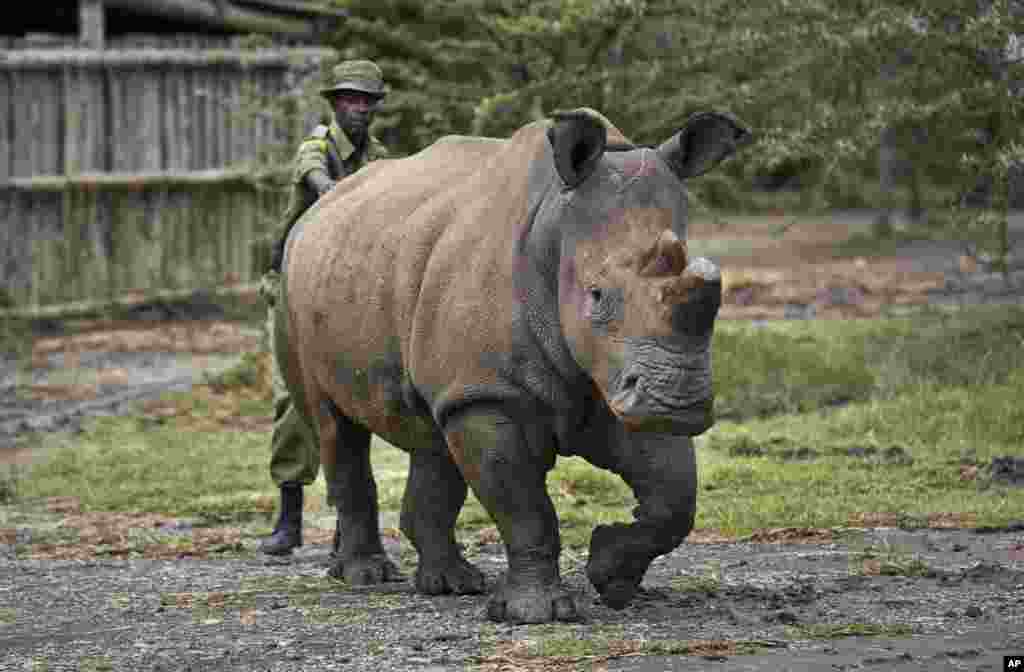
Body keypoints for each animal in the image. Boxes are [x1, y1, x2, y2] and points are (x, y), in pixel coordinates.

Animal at [276, 108, 750, 623]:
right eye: (596, 295)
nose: (679, 402)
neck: (556, 228)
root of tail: (317, 212)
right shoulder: (488, 393)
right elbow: (524, 506)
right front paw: (537, 613)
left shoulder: (620, 383)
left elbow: (674, 499)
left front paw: (610, 575)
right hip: (294, 288)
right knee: (333, 426)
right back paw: (366, 576)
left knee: (433, 434)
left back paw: (451, 584)